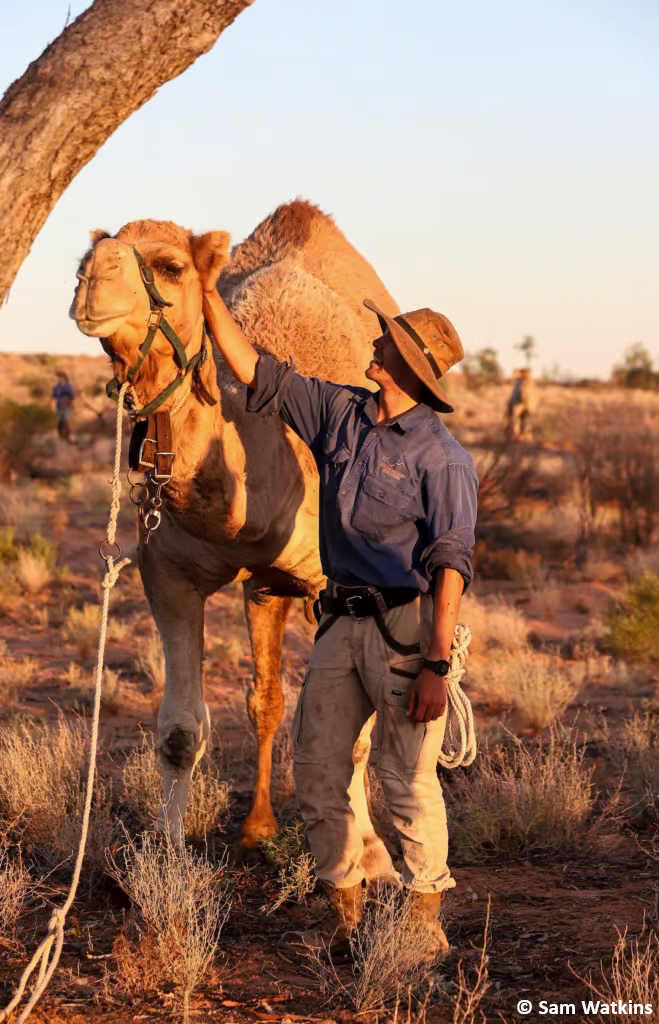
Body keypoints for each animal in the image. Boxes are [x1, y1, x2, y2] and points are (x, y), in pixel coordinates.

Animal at [70, 200, 399, 873]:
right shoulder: (167, 573)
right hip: (266, 587)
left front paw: (366, 855)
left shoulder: (339, 584)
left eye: (171, 266)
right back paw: (256, 828)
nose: (93, 278)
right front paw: (166, 859)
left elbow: (352, 736)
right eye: (81, 263)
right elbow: (179, 732)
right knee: (265, 697)